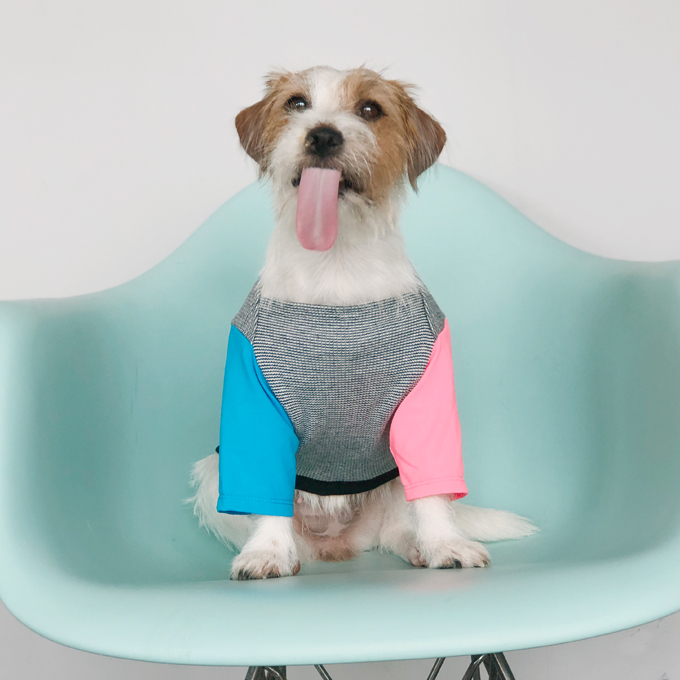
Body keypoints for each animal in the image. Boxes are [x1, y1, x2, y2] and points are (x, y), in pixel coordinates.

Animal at [190, 66, 536, 580]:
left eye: (371, 109)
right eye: (296, 103)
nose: (323, 135)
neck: (336, 260)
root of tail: (340, 543)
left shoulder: (426, 398)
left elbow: (433, 490)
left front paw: (445, 544)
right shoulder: (254, 398)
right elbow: (265, 490)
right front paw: (266, 552)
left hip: (391, 478)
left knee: (396, 526)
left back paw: (417, 545)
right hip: (213, 475)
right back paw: (291, 552)